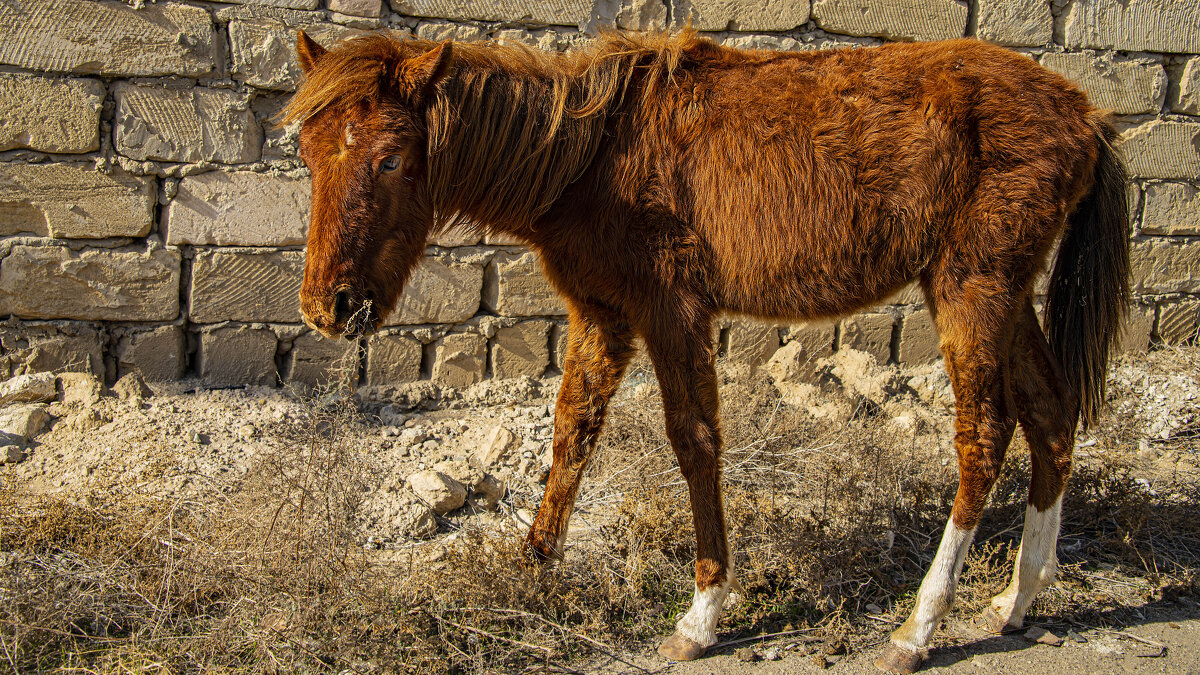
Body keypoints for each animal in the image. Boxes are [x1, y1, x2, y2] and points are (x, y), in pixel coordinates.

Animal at [285, 28, 1128, 667]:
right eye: (308, 155)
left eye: (391, 158)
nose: (330, 306)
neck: (588, 156)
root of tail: (1086, 113)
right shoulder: (602, 316)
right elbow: (571, 433)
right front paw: (531, 567)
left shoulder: (673, 313)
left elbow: (694, 444)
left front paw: (703, 611)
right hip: (1005, 296)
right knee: (1052, 418)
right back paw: (1016, 597)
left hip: (971, 291)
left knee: (983, 439)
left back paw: (920, 626)